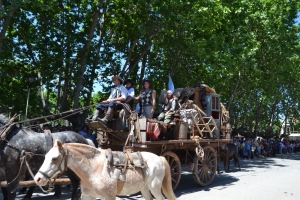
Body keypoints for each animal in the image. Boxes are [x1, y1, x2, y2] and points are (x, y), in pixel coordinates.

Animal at [34, 141, 177, 200]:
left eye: (54, 158)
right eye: (45, 156)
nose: (38, 179)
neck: (94, 169)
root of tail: (159, 158)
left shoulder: (109, 197)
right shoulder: (87, 197)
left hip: (155, 188)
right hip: (145, 189)